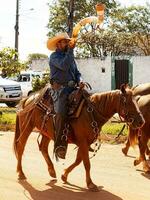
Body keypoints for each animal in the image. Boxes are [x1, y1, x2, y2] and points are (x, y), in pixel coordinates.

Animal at [13, 84, 144, 191]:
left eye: (136, 100)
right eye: (127, 102)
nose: (141, 121)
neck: (91, 112)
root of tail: (27, 99)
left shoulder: (85, 142)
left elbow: (78, 160)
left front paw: (64, 175)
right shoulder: (83, 142)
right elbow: (86, 163)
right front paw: (90, 184)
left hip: (47, 132)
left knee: (43, 148)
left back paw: (52, 171)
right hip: (27, 128)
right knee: (20, 147)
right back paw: (20, 173)